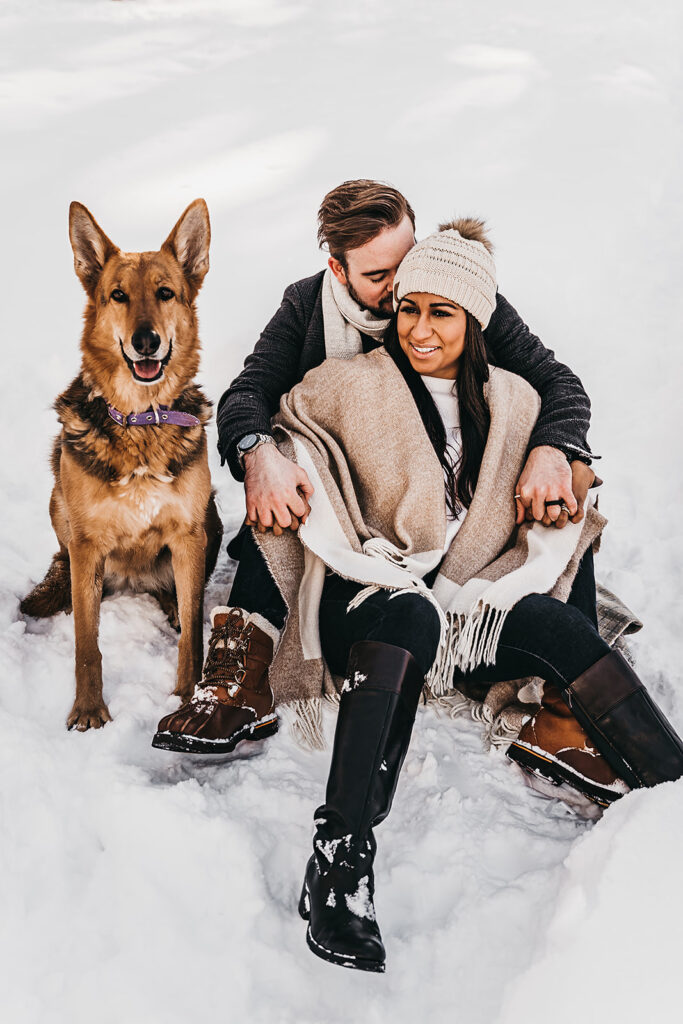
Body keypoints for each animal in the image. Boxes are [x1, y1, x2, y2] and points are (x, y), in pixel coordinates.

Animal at [20, 197, 222, 729]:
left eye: (166, 293)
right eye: (117, 296)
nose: (146, 340)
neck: (139, 419)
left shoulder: (188, 535)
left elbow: (193, 634)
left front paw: (187, 694)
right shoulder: (87, 544)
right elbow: (87, 645)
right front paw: (89, 709)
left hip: (209, 519)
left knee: (183, 603)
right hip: (59, 503)